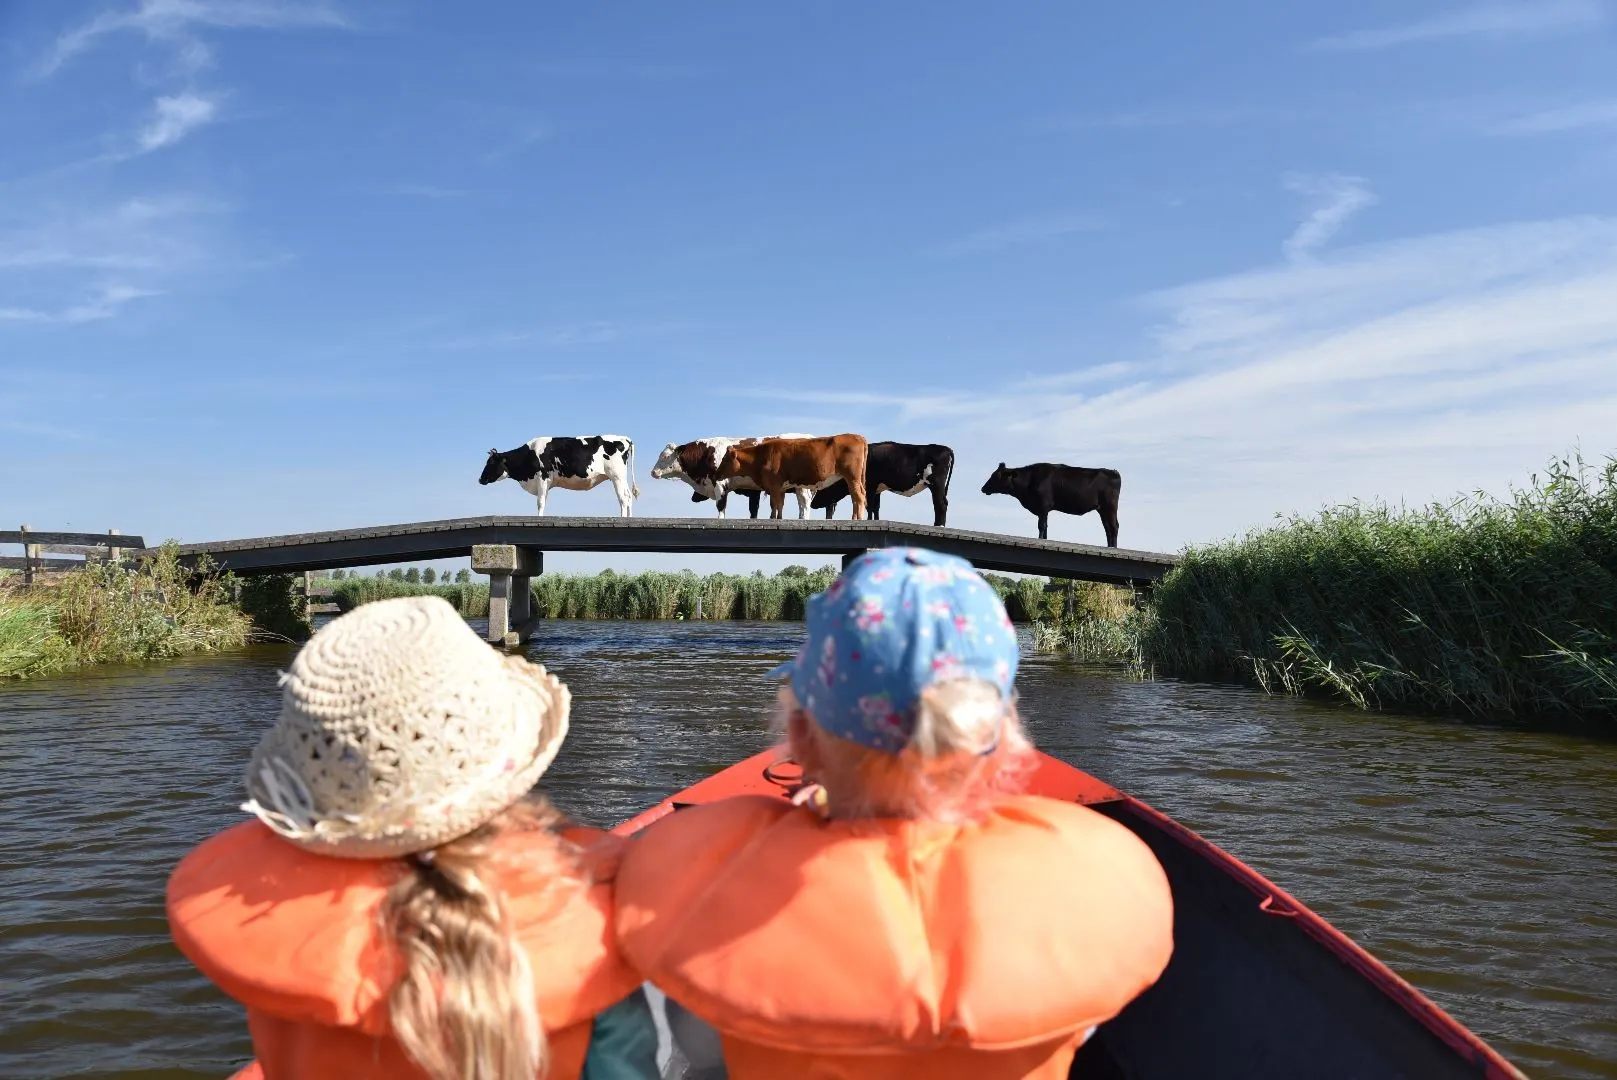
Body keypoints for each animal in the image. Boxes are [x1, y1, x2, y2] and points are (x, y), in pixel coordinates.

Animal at [475, 436, 640, 517]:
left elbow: (540, 503)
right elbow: (544, 501)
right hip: (621, 477)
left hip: (616, 476)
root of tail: (624, 438)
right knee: (628, 496)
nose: (480, 479)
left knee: (623, 498)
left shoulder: (542, 478)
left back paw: (621, 518)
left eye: (490, 462)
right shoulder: (546, 482)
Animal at [717, 430, 873, 517]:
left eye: (724, 459)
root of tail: (858, 437)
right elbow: (779, 506)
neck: (762, 456)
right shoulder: (780, 487)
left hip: (852, 476)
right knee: (856, 496)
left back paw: (857, 519)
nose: (715, 474)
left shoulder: (774, 485)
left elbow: (775, 505)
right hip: (853, 478)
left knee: (858, 496)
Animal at [814, 436, 950, 523]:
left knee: (940, 505)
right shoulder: (877, 489)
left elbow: (869, 505)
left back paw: (939, 526)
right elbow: (876, 508)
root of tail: (946, 449)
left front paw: (868, 520)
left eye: (820, 489)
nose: (812, 504)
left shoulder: (871, 485)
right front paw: (875, 520)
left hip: (936, 484)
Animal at [976, 462, 1118, 549]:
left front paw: (1039, 540)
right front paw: (1044, 540)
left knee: (1114, 526)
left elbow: (1041, 526)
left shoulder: (1043, 506)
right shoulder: (1042, 510)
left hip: (1110, 506)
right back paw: (1110, 547)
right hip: (1102, 509)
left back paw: (1114, 548)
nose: (983, 488)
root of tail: (1113, 472)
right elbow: (1045, 528)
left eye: (995, 476)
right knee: (1107, 527)